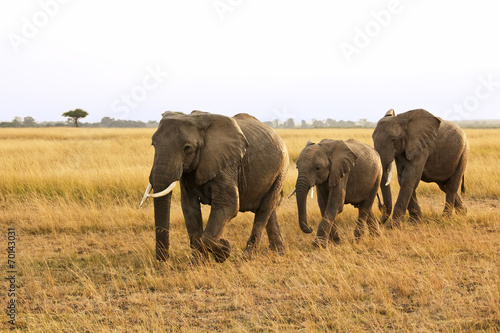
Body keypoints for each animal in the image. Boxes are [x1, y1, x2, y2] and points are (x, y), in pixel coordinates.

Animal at [141, 109, 290, 262]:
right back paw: (278, 253)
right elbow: (189, 207)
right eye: (153, 144)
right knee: (269, 211)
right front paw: (199, 263)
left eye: (187, 148)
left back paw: (247, 257)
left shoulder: (227, 164)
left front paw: (224, 250)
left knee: (264, 209)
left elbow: (228, 205)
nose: (163, 260)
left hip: (281, 170)